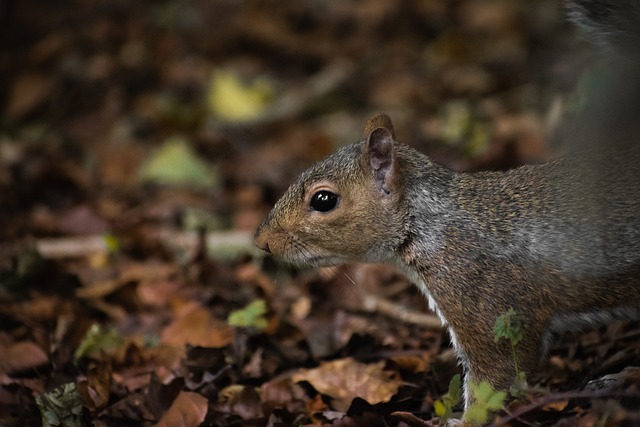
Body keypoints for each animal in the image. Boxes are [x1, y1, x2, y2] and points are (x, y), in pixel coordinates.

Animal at [252, 0, 640, 412]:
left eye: (323, 200)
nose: (262, 241)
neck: (434, 222)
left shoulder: (485, 302)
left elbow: (496, 375)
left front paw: (466, 418)